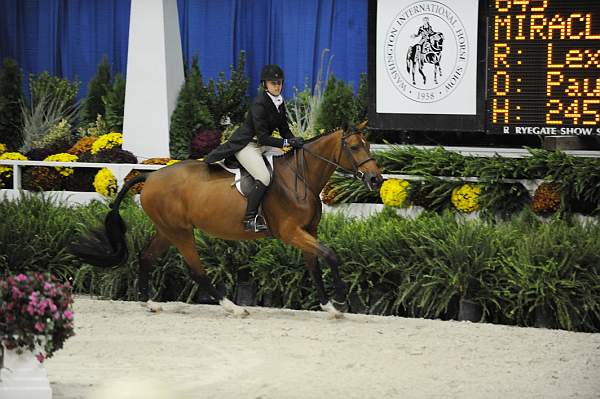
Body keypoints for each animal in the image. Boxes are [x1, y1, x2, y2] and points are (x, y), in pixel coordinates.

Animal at [69, 123, 380, 318]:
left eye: (368, 145)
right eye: (354, 147)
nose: (376, 180)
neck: (300, 178)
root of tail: (151, 176)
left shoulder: (307, 232)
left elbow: (315, 266)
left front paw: (330, 307)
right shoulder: (291, 232)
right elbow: (331, 255)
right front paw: (342, 300)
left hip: (167, 230)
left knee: (146, 257)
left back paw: (150, 304)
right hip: (180, 232)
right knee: (196, 270)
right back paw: (234, 307)